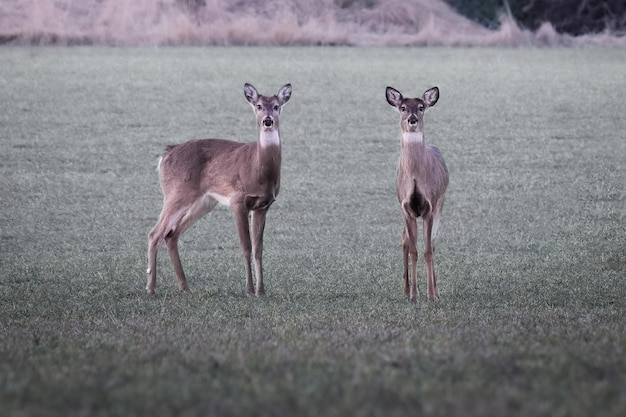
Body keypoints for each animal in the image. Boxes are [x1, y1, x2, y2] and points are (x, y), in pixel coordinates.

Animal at [147, 83, 292, 294]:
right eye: (258, 106)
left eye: (276, 106)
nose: (267, 121)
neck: (259, 170)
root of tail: (165, 155)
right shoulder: (237, 200)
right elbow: (246, 247)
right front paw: (249, 290)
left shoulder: (263, 206)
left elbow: (258, 249)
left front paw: (261, 291)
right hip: (176, 192)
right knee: (155, 233)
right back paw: (151, 287)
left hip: (204, 201)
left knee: (171, 234)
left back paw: (184, 287)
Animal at [382, 86, 446, 300]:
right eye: (402, 107)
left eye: (421, 107)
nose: (412, 119)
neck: (416, 179)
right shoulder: (406, 208)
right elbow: (413, 250)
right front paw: (413, 295)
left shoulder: (430, 207)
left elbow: (427, 251)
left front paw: (431, 296)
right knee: (405, 240)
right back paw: (405, 290)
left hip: (440, 205)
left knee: (432, 244)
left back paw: (436, 290)